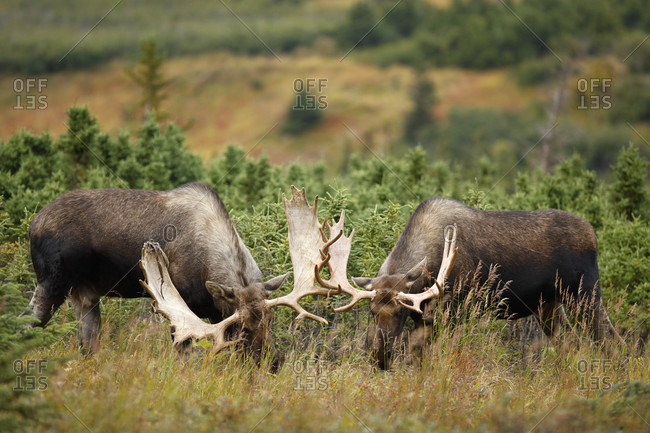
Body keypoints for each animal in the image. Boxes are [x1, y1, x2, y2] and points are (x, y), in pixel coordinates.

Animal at [29, 182, 334, 358]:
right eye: (241, 327)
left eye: (271, 321)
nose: (271, 363)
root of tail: (33, 225)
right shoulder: (179, 308)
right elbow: (184, 353)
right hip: (52, 282)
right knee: (28, 323)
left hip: (84, 293)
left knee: (86, 342)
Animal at [324, 197, 624, 370]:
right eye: (372, 312)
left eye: (401, 311)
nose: (381, 356)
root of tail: (593, 235)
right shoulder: (426, 318)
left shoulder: (454, 313)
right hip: (548, 306)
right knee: (571, 344)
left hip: (584, 294)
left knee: (611, 339)